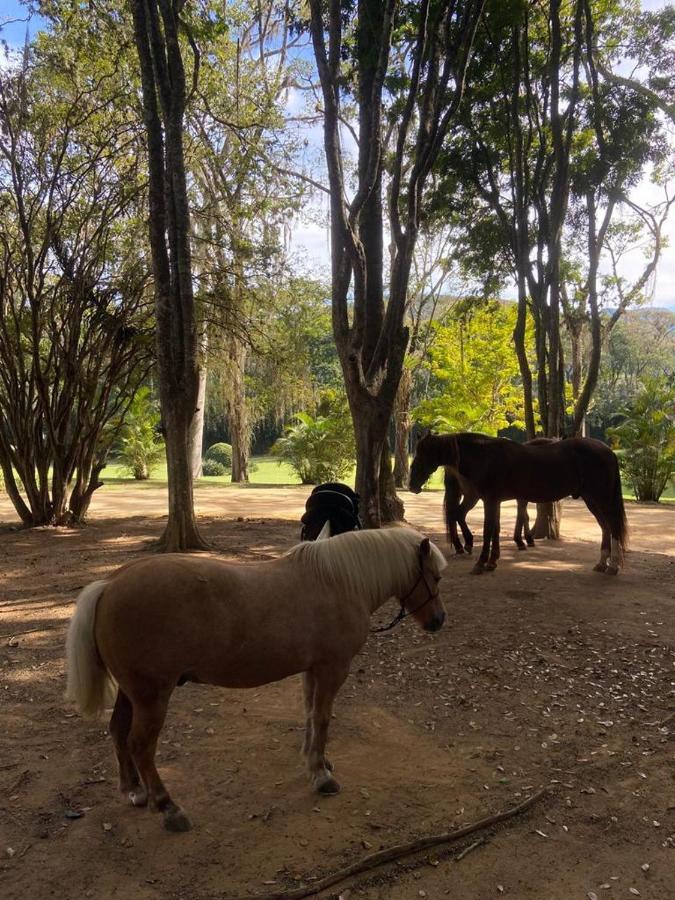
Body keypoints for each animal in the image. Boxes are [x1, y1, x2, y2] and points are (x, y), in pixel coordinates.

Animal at [66, 528, 448, 828]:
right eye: (436, 577)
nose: (438, 621)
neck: (338, 583)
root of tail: (110, 584)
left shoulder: (312, 670)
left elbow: (311, 716)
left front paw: (316, 761)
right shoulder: (332, 669)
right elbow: (323, 718)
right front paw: (322, 776)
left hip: (132, 694)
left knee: (118, 732)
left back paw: (134, 790)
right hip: (152, 696)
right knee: (140, 746)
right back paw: (168, 807)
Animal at [410, 436, 632, 576]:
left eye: (422, 454)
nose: (412, 484)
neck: (487, 456)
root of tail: (608, 451)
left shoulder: (490, 500)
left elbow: (489, 529)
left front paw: (481, 563)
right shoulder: (495, 501)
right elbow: (495, 529)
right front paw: (492, 561)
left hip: (601, 498)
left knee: (612, 525)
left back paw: (613, 566)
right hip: (592, 499)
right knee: (605, 526)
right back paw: (602, 563)